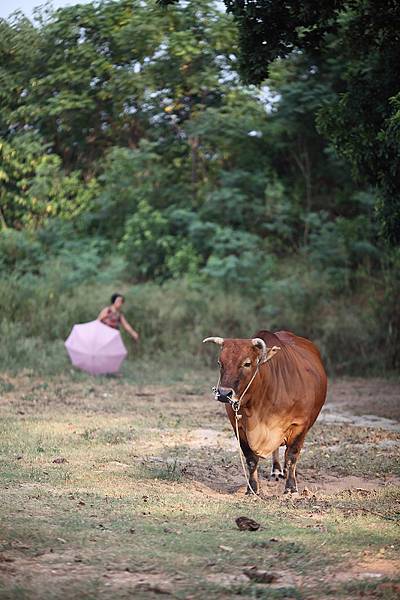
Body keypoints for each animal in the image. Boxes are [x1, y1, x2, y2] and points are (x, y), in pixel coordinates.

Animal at [205, 330, 326, 494]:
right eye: (220, 363)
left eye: (247, 363)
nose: (224, 394)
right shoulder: (239, 427)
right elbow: (251, 459)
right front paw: (252, 488)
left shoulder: (300, 425)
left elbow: (291, 456)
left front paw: (291, 488)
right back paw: (276, 470)